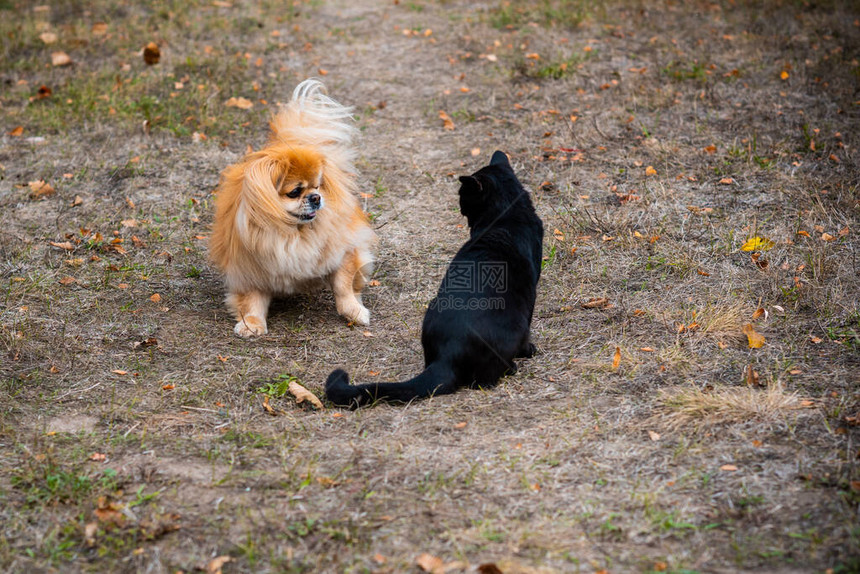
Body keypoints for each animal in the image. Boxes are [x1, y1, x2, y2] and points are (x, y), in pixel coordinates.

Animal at [210, 79, 374, 336]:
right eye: (295, 192)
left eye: (318, 185)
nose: (316, 197)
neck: (294, 234)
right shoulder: (250, 268)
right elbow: (252, 300)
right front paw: (252, 323)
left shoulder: (343, 250)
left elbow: (343, 285)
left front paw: (354, 312)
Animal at [326, 151, 540, 408]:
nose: (460, 207)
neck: (506, 214)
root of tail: (447, 356)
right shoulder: (531, 290)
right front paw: (529, 350)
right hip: (512, 324)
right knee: (485, 379)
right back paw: (513, 366)